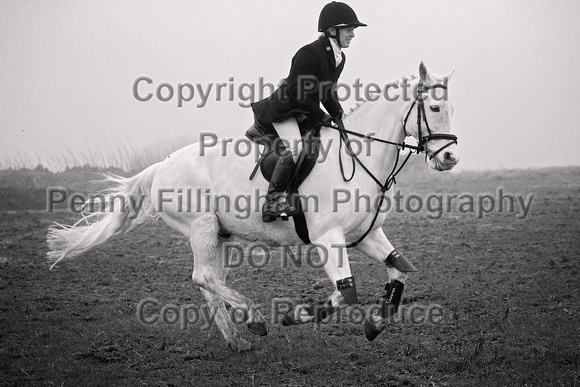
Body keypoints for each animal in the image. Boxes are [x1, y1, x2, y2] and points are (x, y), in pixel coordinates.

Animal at [46, 63, 458, 352]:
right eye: (435, 107)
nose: (450, 158)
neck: (360, 156)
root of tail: (162, 165)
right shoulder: (328, 238)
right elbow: (347, 291)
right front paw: (296, 316)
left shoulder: (366, 234)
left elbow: (400, 271)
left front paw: (375, 324)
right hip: (201, 227)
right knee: (203, 277)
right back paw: (255, 319)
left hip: (220, 234)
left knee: (211, 282)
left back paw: (237, 339)